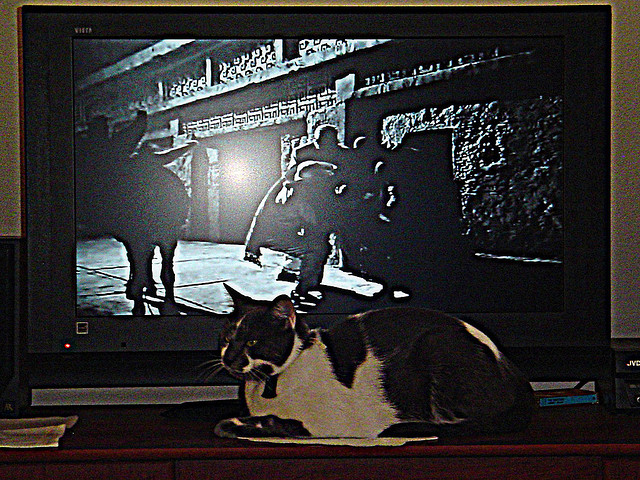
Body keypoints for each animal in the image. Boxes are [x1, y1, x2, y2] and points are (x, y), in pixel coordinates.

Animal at [213, 285, 535, 438]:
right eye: (227, 338)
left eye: (252, 342)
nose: (228, 357)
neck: (269, 384)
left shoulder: (324, 422)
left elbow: (272, 423)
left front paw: (231, 424)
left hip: (437, 346)